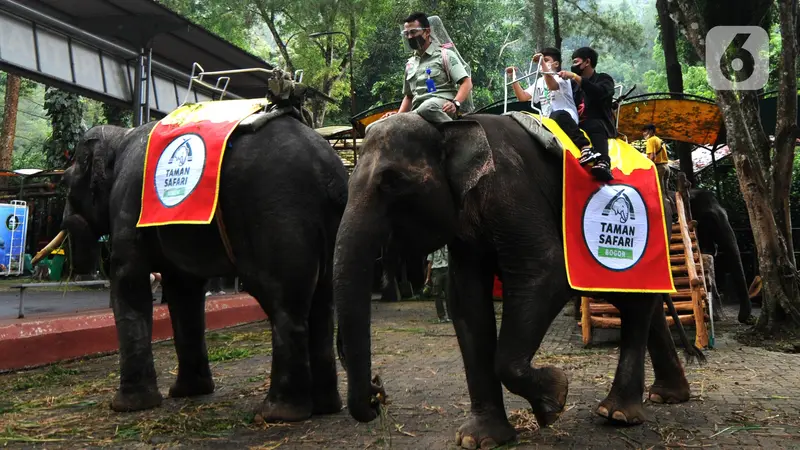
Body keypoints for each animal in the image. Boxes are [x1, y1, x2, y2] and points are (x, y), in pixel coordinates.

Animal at [52, 111, 346, 422]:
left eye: (65, 182)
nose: (69, 221)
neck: (121, 136)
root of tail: (331, 174)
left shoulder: (128, 201)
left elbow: (129, 279)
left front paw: (128, 406)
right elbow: (184, 292)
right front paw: (188, 392)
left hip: (278, 213)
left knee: (284, 304)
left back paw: (277, 414)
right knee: (322, 303)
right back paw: (325, 407)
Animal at [332, 114, 692, 448]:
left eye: (392, 182)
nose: (378, 392)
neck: (450, 128)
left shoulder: (510, 191)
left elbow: (546, 272)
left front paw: (554, 400)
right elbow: (466, 299)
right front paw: (480, 440)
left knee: (636, 303)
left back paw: (617, 414)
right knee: (638, 301)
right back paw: (667, 396)